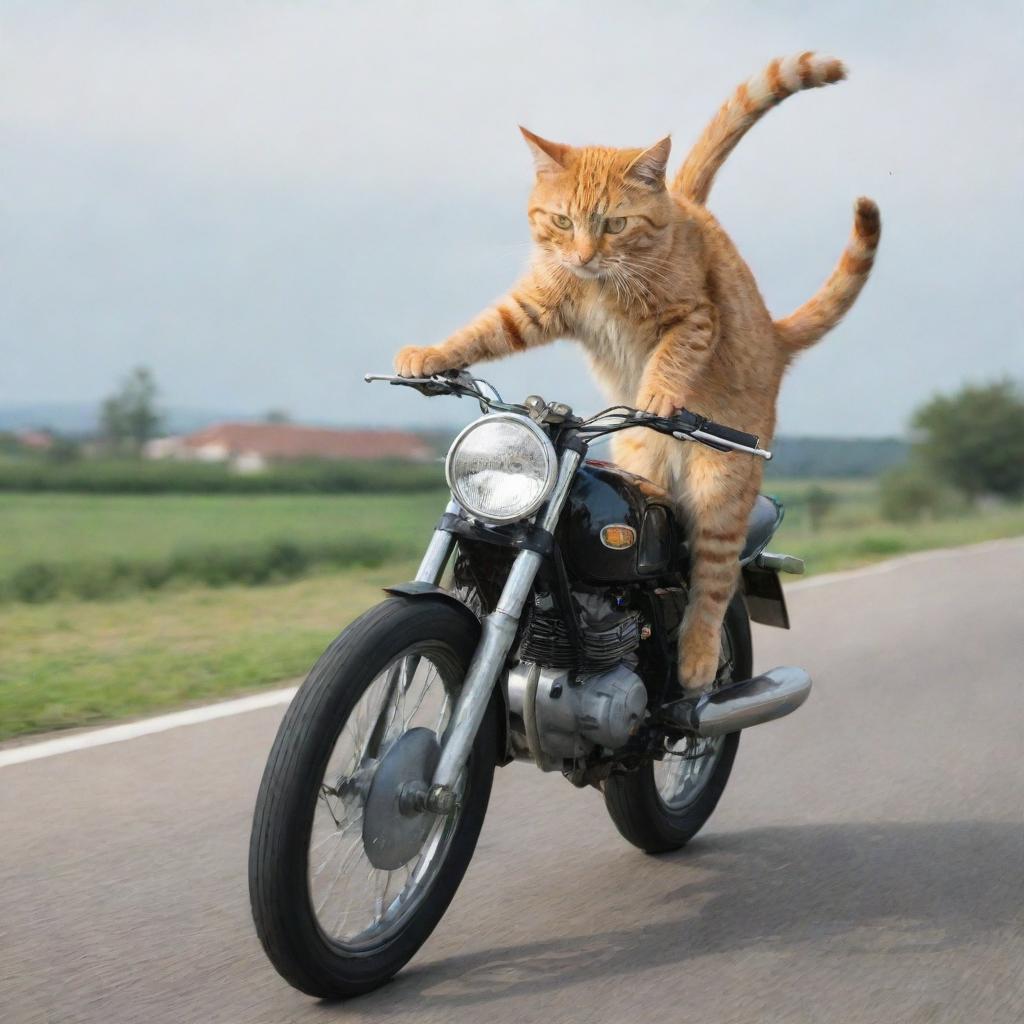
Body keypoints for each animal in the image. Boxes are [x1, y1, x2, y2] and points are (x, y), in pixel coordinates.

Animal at [393, 54, 880, 688]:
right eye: (562, 221)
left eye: (615, 225)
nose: (583, 256)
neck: (603, 281)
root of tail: (775, 337)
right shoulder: (536, 305)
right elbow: (482, 330)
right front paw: (431, 355)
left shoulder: (694, 317)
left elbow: (670, 358)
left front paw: (656, 397)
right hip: (644, 459)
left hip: (722, 489)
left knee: (713, 582)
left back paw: (698, 662)